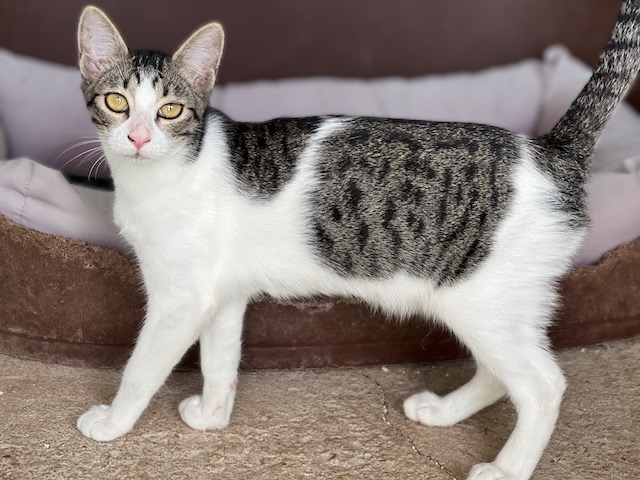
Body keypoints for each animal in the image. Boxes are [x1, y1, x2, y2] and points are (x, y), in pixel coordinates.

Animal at [75, 3, 640, 479]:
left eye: (170, 110)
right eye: (117, 102)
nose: (139, 138)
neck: (166, 173)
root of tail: (551, 151)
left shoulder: (181, 300)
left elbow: (141, 368)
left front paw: (112, 423)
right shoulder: (221, 295)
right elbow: (220, 362)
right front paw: (212, 417)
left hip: (482, 302)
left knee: (542, 386)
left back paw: (505, 470)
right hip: (500, 308)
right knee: (502, 375)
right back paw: (442, 411)